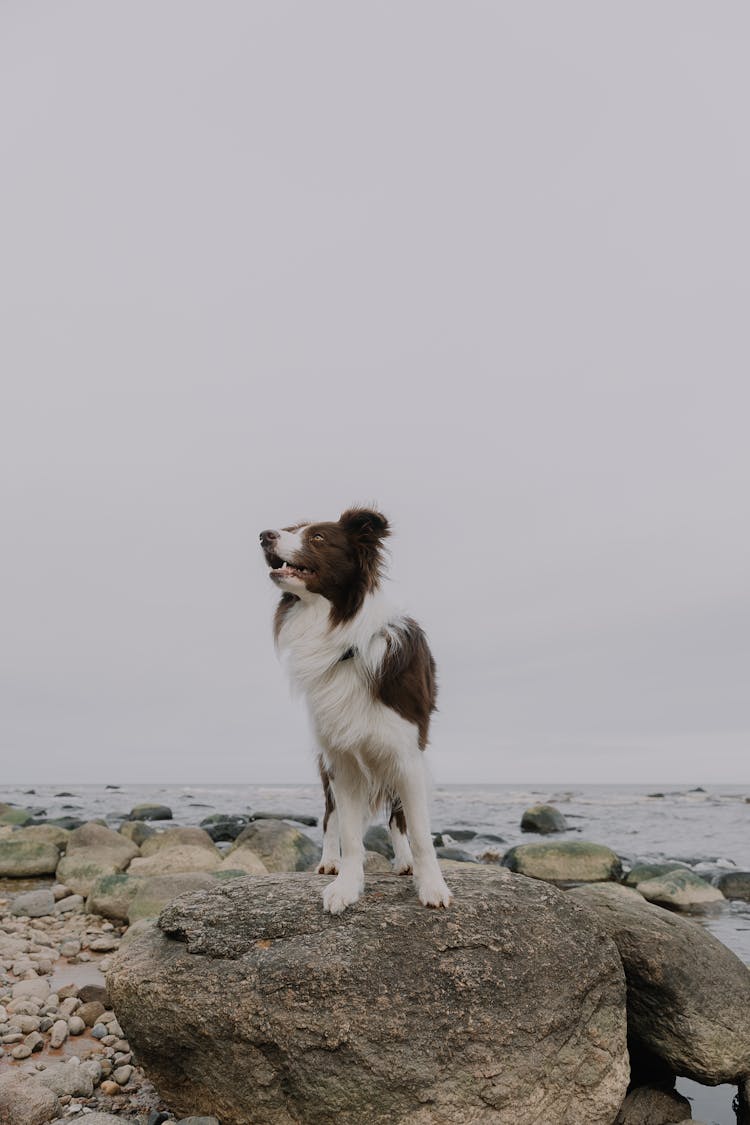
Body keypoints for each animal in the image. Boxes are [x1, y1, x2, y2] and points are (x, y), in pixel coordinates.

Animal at [260, 510, 454, 913]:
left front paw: (432, 886)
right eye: (289, 530)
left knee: (397, 819)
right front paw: (346, 887)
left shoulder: (407, 753)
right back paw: (329, 861)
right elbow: (349, 833)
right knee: (329, 817)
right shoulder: (342, 759)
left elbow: (420, 832)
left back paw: (404, 861)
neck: (343, 638)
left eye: (317, 538)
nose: (263, 535)